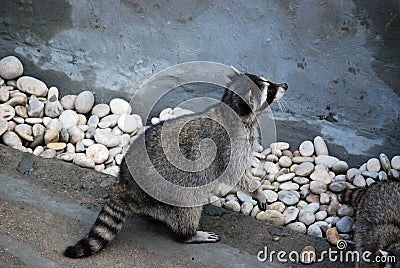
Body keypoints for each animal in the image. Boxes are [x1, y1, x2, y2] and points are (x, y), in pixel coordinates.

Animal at [63, 66, 288, 258]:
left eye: (269, 82)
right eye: (269, 90)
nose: (285, 85)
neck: (233, 108)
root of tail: (124, 183)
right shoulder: (230, 146)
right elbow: (235, 173)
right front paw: (257, 189)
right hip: (173, 190)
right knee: (189, 205)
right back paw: (188, 234)